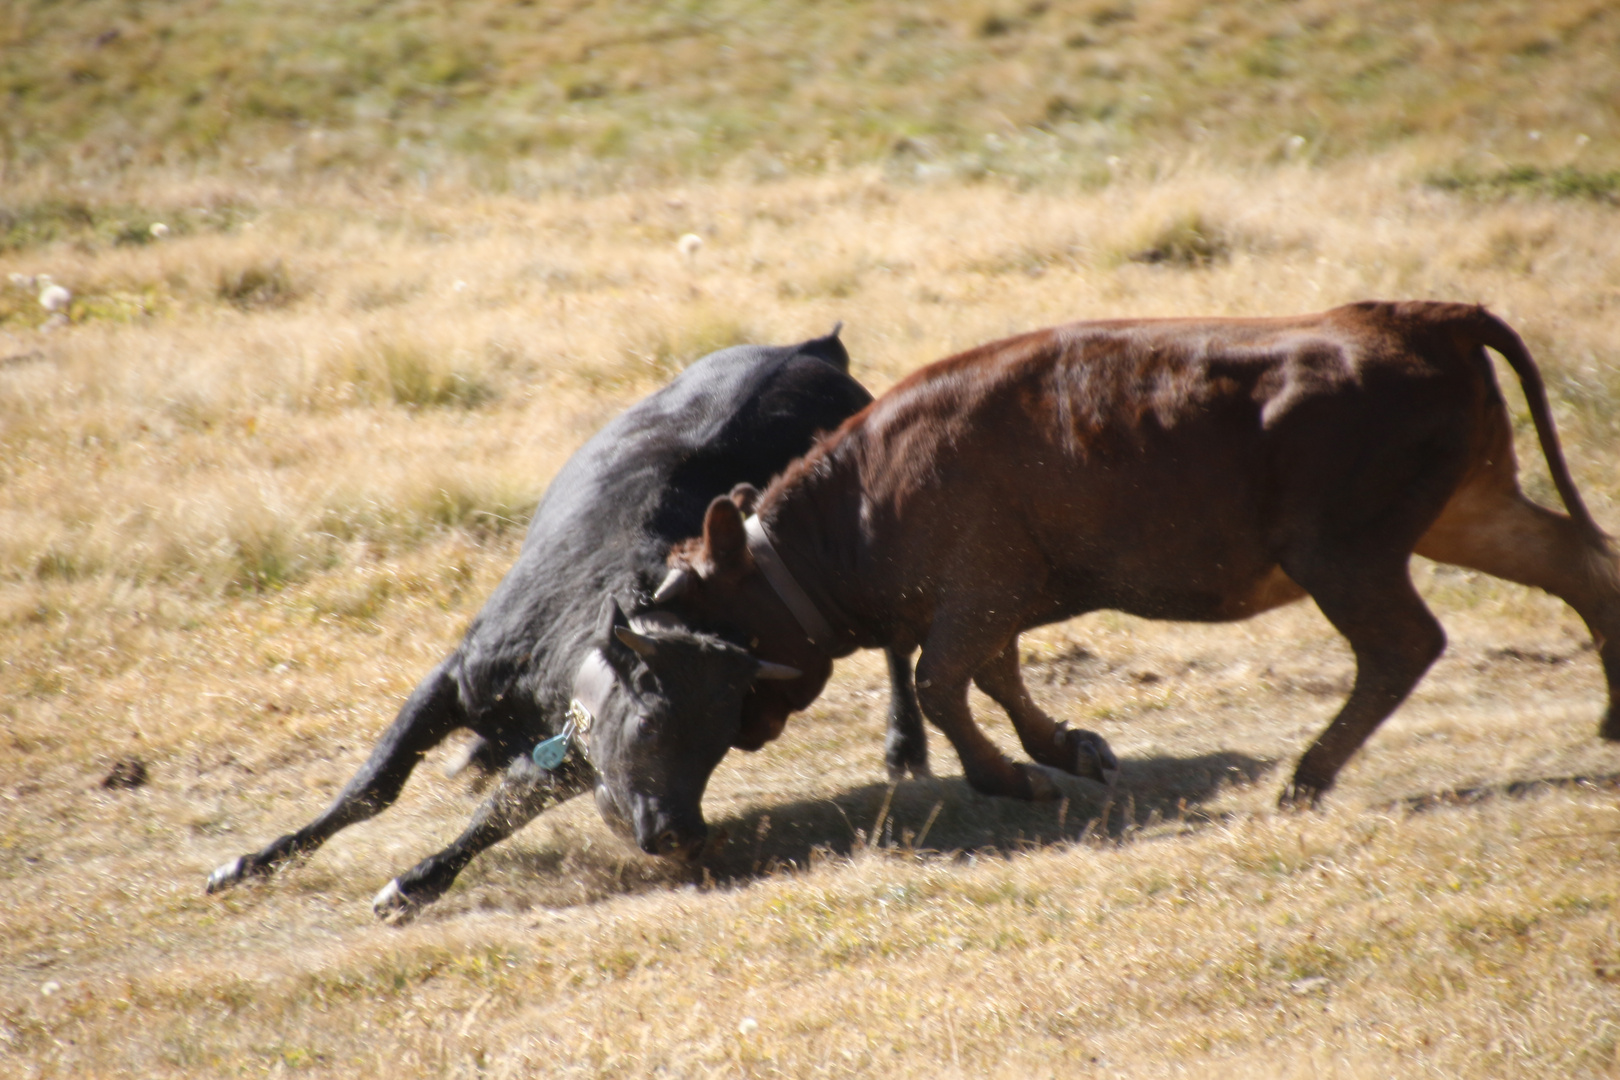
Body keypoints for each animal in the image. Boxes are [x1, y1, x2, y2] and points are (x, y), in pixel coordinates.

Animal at [208, 331, 933, 919]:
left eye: (722, 741)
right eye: (655, 723)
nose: (683, 834)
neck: (554, 660)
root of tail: (816, 350)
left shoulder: (575, 756)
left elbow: (498, 814)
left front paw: (415, 884)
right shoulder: (456, 677)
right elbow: (372, 788)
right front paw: (255, 862)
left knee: (899, 648)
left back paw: (905, 744)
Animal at [648, 299, 1620, 822]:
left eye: (715, 624)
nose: (739, 728)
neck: (862, 495)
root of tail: (1417, 318)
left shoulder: (975, 594)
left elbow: (941, 685)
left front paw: (1017, 779)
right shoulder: (993, 605)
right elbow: (995, 679)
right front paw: (1073, 751)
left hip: (1345, 554)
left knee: (1404, 644)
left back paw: (1305, 777)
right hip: (1466, 512)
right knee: (1578, 561)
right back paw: (1610, 720)